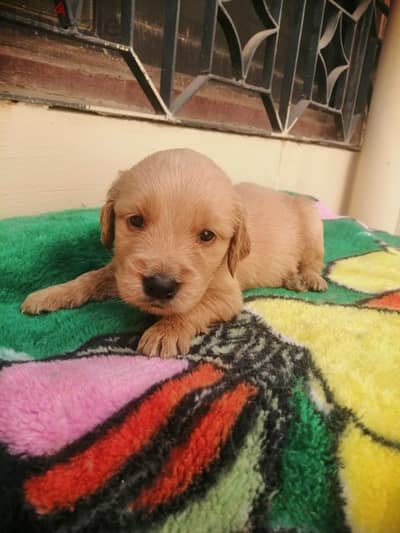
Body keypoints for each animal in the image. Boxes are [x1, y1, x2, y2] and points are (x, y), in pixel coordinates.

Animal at [21, 149, 326, 358]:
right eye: (136, 221)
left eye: (207, 236)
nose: (159, 285)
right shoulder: (121, 269)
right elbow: (89, 277)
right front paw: (50, 294)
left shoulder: (227, 294)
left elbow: (192, 308)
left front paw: (164, 330)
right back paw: (293, 279)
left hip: (313, 223)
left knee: (314, 260)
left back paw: (309, 278)